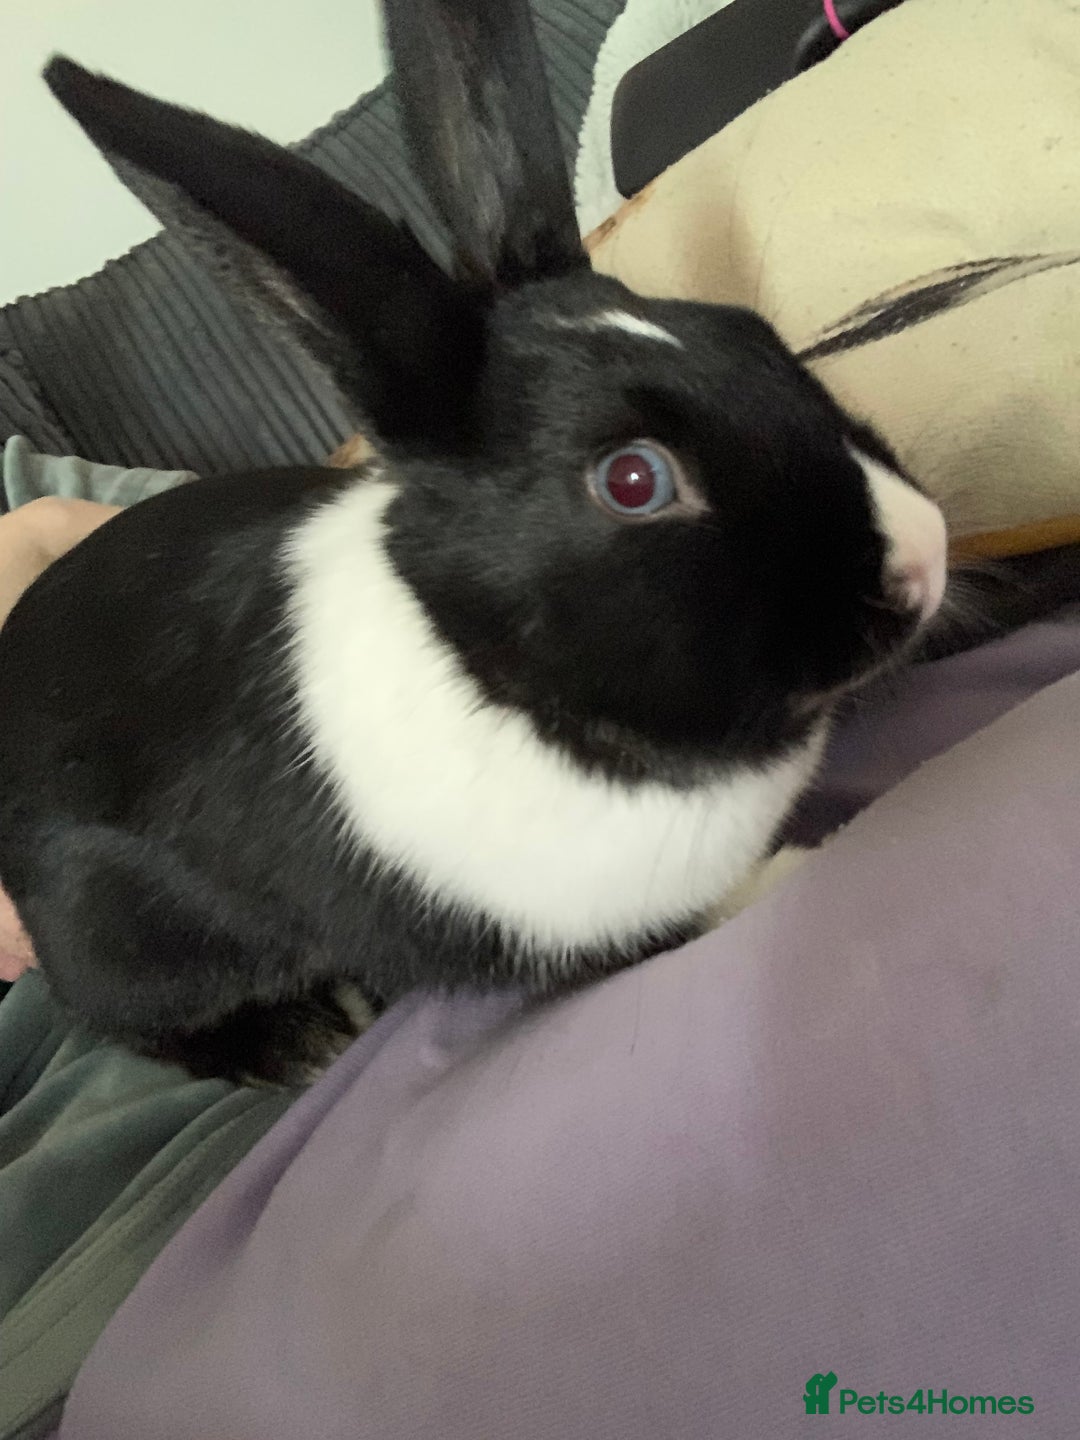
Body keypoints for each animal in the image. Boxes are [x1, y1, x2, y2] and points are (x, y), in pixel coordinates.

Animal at [0, 0, 946, 1085]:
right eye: (634, 481)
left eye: (747, 331)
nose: (924, 556)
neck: (493, 669)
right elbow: (698, 915)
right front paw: (821, 855)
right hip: (130, 946)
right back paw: (309, 1039)